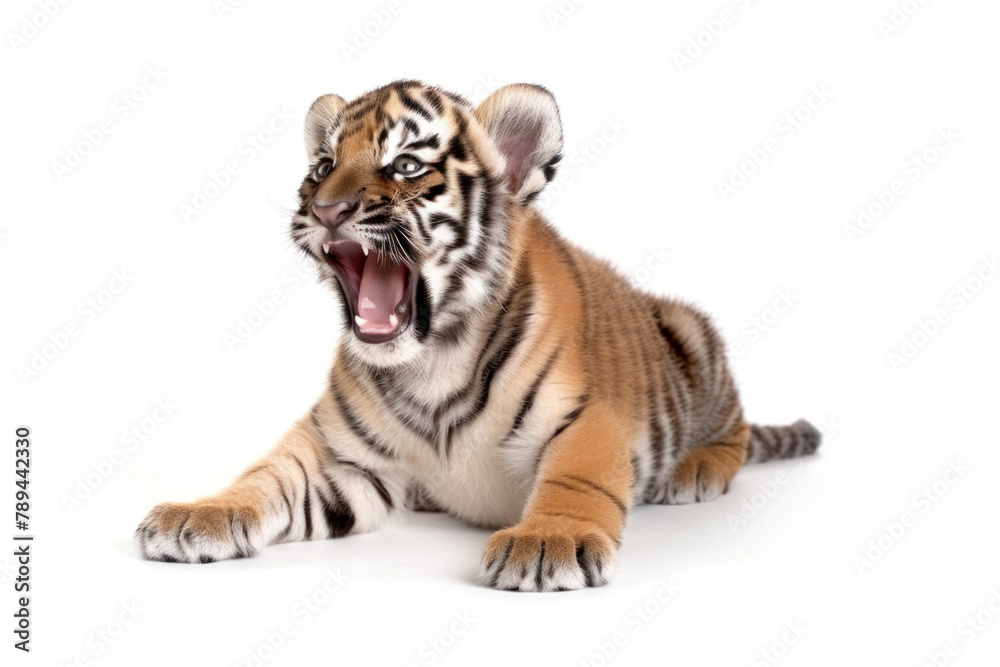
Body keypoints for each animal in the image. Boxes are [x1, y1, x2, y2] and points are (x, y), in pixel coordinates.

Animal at [136, 80, 821, 591]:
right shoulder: (338, 458)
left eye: (406, 165)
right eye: (323, 167)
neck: (431, 357)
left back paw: (695, 472)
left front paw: (548, 541)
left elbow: (576, 480)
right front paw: (198, 515)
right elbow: (265, 478)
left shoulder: (588, 418)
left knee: (735, 429)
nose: (327, 210)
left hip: (694, 335)